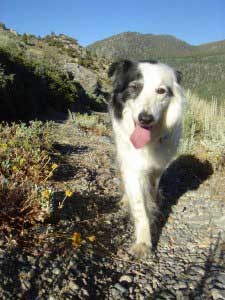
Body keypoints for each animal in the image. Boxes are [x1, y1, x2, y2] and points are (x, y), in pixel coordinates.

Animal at [108, 59, 185, 258]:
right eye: (134, 87)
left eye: (161, 91)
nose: (145, 118)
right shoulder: (132, 166)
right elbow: (139, 206)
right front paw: (143, 242)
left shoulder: (158, 168)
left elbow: (151, 189)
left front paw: (153, 203)